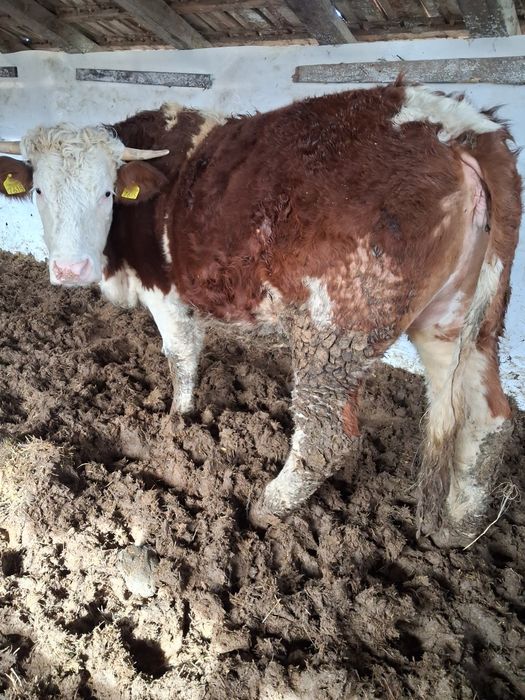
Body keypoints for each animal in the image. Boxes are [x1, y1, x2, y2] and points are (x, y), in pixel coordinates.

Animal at [0, 81, 521, 547]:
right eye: (40, 190)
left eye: (107, 192)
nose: (70, 269)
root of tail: (458, 127)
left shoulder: (167, 295)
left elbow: (180, 358)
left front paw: (177, 421)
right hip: (459, 320)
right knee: (488, 417)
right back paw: (457, 529)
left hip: (336, 326)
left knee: (324, 437)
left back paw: (265, 507)